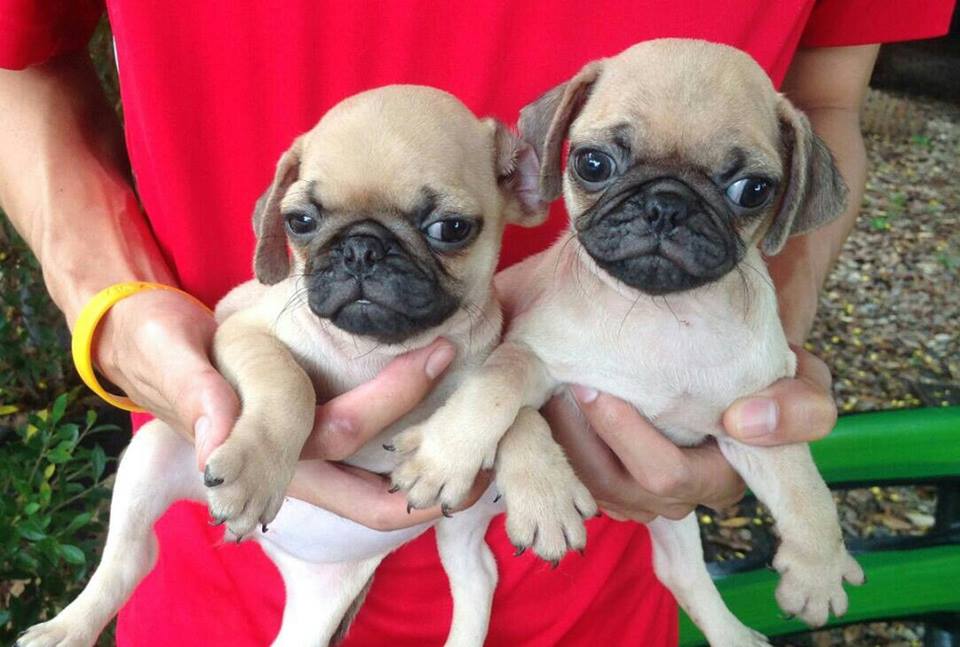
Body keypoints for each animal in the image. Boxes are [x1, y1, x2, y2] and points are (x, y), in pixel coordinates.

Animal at [387, 40, 865, 646]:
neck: (664, 316)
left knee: (679, 572)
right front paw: (452, 458)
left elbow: (806, 490)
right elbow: (499, 390)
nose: (667, 203)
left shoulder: (755, 416)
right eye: (593, 164)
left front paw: (818, 571)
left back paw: (734, 634)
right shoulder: (531, 357)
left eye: (753, 190)